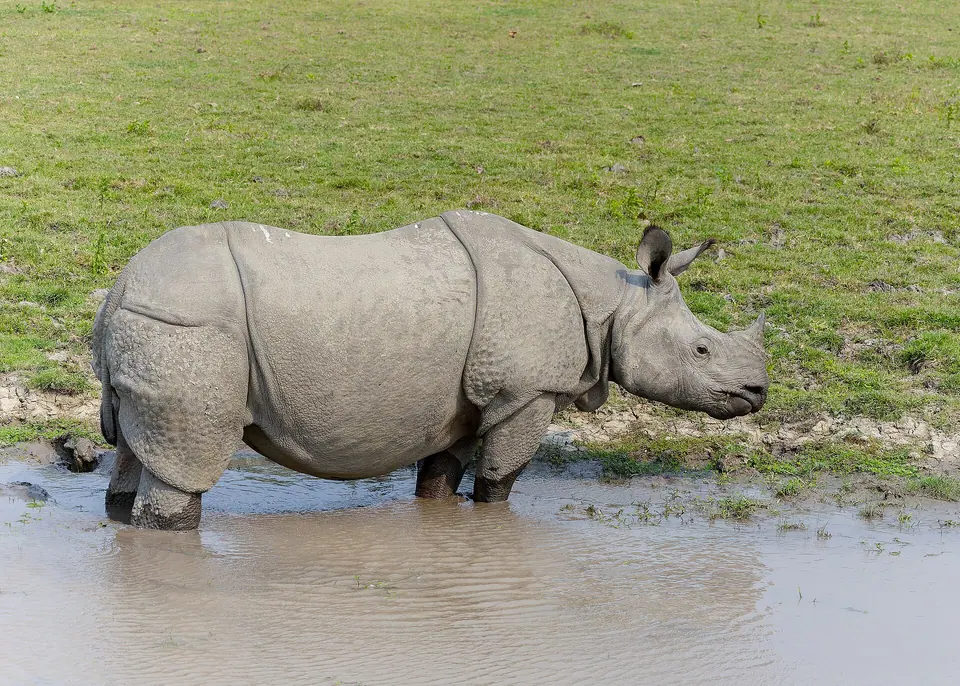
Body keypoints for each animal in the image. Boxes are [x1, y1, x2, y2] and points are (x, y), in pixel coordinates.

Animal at [92, 210, 768, 530]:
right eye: (702, 351)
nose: (757, 392)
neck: (616, 301)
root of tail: (118, 290)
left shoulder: (471, 399)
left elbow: (443, 477)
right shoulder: (527, 392)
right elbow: (499, 482)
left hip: (156, 326)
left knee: (134, 449)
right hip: (190, 329)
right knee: (185, 467)